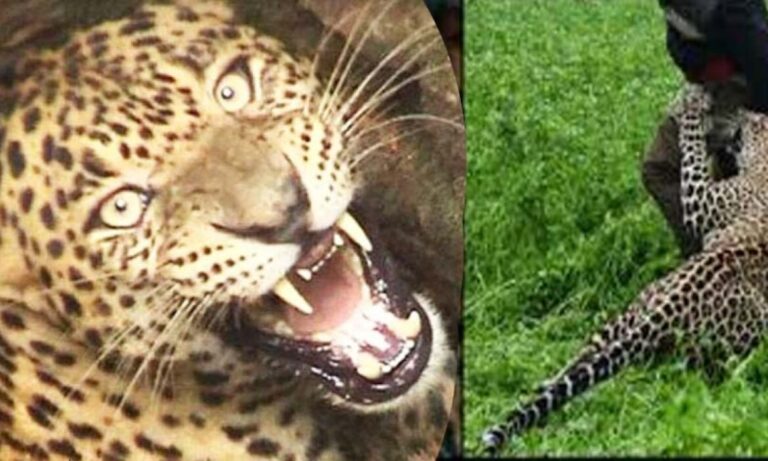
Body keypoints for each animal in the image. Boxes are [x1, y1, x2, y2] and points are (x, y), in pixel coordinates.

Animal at [481, 83, 768, 456]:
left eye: (753, 121)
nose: (745, 113)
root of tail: (666, 311)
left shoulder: (703, 202)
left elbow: (692, 157)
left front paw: (690, 105)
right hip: (630, 316)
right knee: (587, 362)